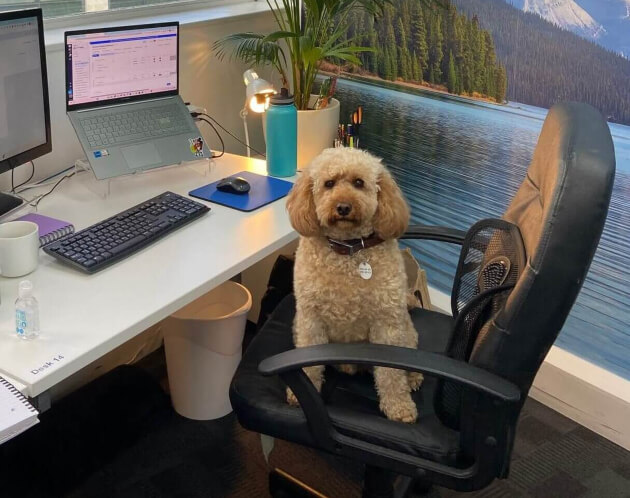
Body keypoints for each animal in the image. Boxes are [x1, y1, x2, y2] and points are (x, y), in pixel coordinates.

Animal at [286, 146, 424, 422]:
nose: (343, 207)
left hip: (405, 329)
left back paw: (414, 377)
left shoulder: (387, 325)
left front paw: (399, 406)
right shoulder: (310, 320)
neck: (348, 250)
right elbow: (309, 362)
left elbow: (391, 374)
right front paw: (300, 392)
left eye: (359, 183)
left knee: (409, 353)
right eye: (329, 184)